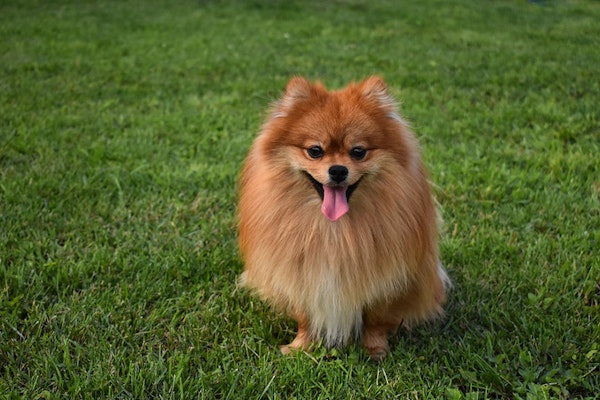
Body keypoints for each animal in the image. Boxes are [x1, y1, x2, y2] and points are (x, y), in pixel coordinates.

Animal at [237, 76, 448, 360]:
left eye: (358, 151)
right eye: (315, 151)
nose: (338, 170)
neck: (333, 229)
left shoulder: (386, 278)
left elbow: (376, 318)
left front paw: (375, 349)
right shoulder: (301, 273)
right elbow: (305, 315)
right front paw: (300, 347)